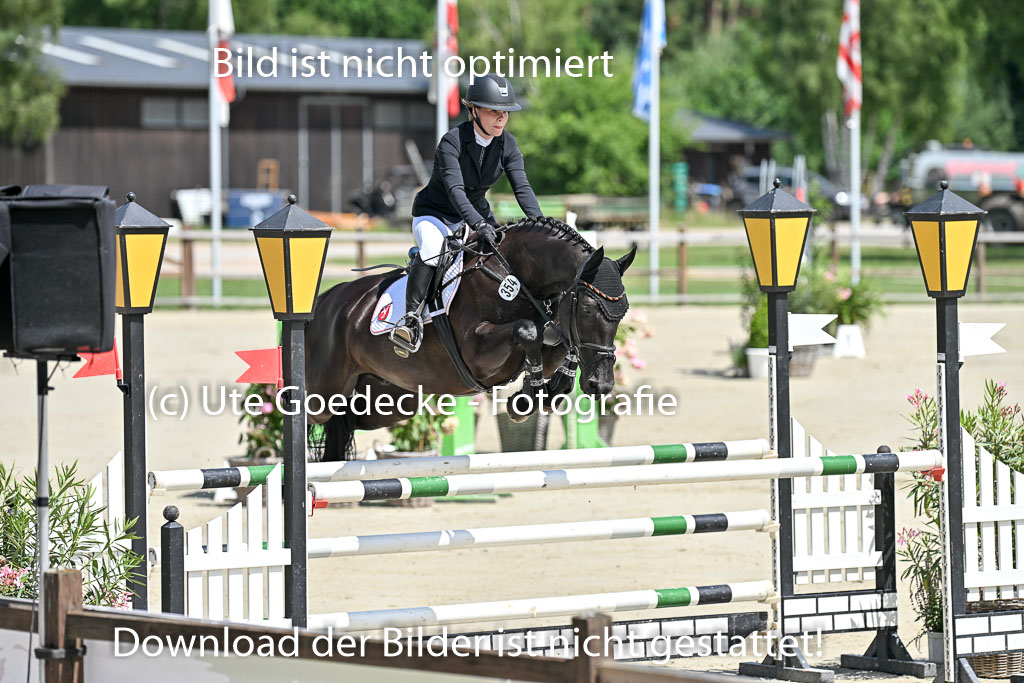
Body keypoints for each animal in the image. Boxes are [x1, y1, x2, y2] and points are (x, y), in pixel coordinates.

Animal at [305, 216, 636, 461]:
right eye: (588, 308)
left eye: (623, 312)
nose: (600, 385)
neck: (513, 275)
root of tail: (326, 302)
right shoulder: (478, 354)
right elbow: (527, 330)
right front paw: (529, 395)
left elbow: (557, 345)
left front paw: (535, 395)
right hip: (322, 394)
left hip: (390, 401)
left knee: (350, 421)